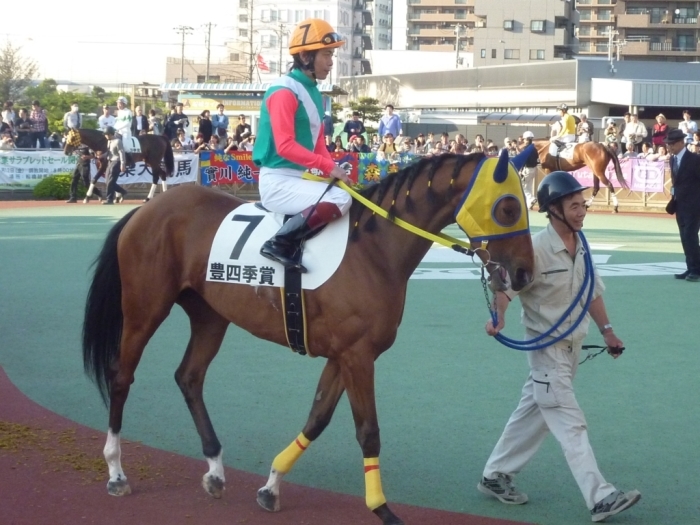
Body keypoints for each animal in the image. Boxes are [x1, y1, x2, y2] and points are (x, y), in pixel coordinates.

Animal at [82, 151, 536, 524]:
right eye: (508, 207)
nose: (524, 273)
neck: (373, 249)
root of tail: (145, 210)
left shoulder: (344, 355)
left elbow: (317, 418)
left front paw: (271, 486)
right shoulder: (357, 357)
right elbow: (368, 430)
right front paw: (382, 508)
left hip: (210, 315)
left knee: (189, 377)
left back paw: (214, 470)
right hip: (144, 309)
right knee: (121, 376)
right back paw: (116, 470)